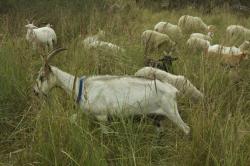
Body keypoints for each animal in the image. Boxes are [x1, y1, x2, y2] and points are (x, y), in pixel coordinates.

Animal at [32, 48, 189, 135]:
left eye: (42, 77)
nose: (35, 92)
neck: (82, 87)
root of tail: (173, 90)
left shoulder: (102, 117)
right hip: (157, 117)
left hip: (172, 112)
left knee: (186, 129)